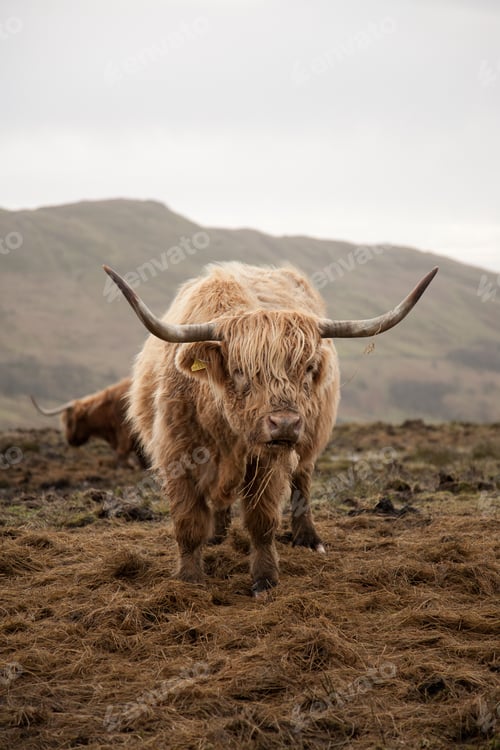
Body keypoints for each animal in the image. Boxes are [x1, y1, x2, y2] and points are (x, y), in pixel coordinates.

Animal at [103, 261, 437, 595]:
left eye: (308, 368)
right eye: (240, 371)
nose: (285, 424)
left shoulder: (268, 462)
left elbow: (262, 521)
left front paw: (265, 579)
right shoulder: (176, 456)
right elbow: (189, 524)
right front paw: (190, 579)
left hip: (309, 443)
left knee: (302, 481)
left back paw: (309, 538)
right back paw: (217, 533)